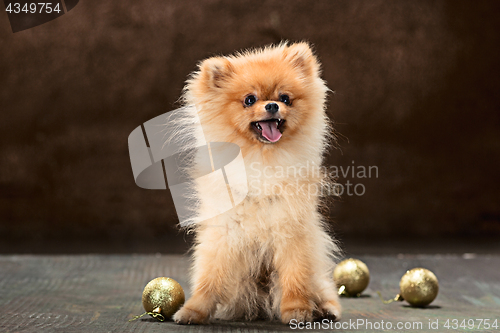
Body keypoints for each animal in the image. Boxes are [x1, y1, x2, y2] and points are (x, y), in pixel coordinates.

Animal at [174, 42, 342, 324]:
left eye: (285, 98)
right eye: (249, 100)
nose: (272, 105)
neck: (261, 159)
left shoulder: (291, 229)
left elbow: (295, 276)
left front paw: (297, 309)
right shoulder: (224, 231)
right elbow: (209, 276)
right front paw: (193, 310)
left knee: (320, 287)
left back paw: (326, 308)